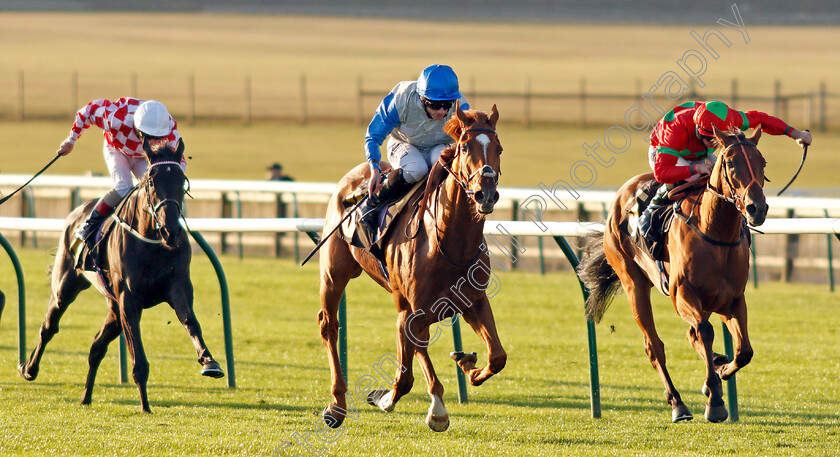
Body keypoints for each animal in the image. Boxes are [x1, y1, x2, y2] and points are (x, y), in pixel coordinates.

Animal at [19, 138, 223, 410]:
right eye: (151, 181)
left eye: (182, 180)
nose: (170, 230)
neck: (152, 240)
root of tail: (78, 210)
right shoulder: (129, 299)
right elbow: (137, 350)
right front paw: (145, 405)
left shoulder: (178, 286)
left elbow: (191, 321)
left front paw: (209, 362)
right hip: (67, 286)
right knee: (49, 326)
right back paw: (29, 368)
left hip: (113, 306)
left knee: (96, 346)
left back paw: (86, 397)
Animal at [318, 106, 506, 432]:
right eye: (465, 147)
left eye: (499, 149)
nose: (486, 192)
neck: (448, 243)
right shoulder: (414, 311)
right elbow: (412, 376)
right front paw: (435, 410)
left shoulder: (474, 301)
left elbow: (497, 357)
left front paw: (468, 364)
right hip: (334, 273)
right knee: (329, 325)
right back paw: (337, 405)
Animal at [576, 126, 768, 422]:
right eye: (731, 164)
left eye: (763, 163)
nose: (757, 208)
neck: (716, 233)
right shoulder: (682, 295)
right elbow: (705, 331)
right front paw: (715, 401)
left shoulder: (732, 299)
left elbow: (744, 350)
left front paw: (720, 372)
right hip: (633, 283)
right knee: (654, 346)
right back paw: (678, 404)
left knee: (693, 336)